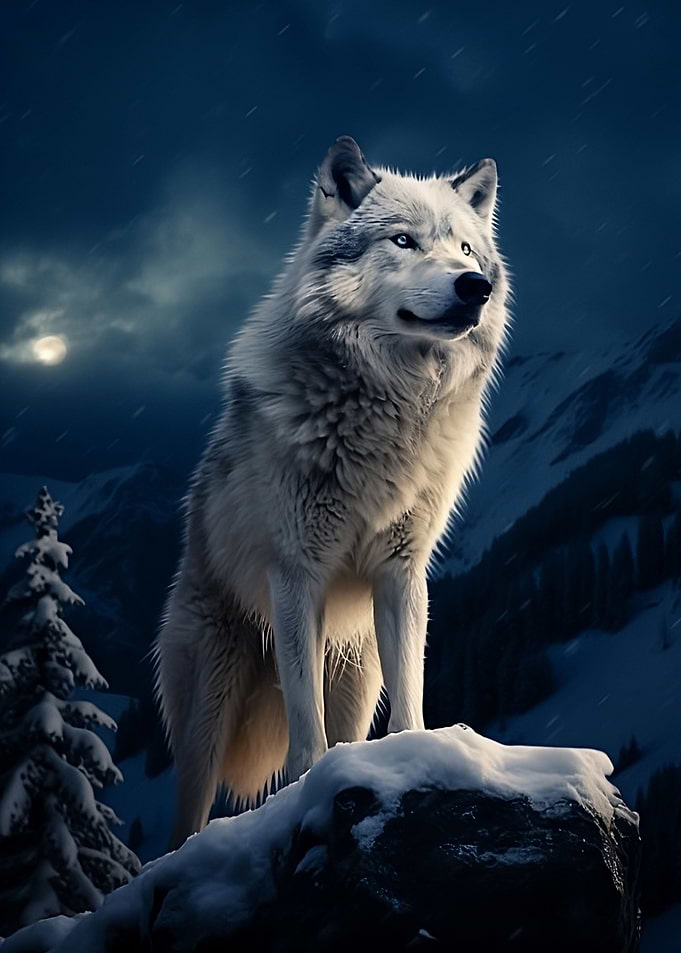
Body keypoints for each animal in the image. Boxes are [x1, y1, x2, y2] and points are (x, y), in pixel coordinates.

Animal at [154, 136, 510, 849]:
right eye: (402, 241)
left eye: (464, 248)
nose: (475, 286)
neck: (392, 407)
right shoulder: (297, 573)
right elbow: (304, 722)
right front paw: (306, 786)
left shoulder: (402, 572)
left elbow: (409, 698)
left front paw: (416, 756)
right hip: (210, 702)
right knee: (187, 814)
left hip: (358, 670)